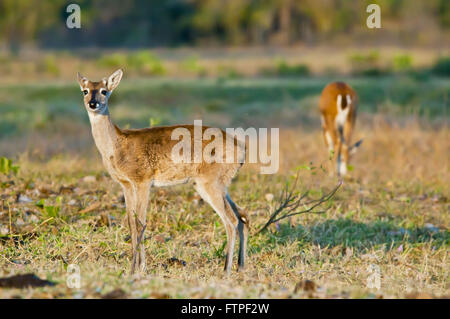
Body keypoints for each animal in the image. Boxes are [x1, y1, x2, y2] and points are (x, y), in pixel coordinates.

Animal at [75, 70, 248, 276]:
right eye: (85, 90)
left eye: (104, 90)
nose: (93, 104)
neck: (117, 145)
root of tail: (242, 149)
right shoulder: (126, 185)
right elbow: (131, 222)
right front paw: (138, 266)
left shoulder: (142, 181)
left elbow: (140, 222)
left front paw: (136, 268)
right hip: (218, 186)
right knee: (242, 216)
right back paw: (240, 266)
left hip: (210, 184)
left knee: (231, 220)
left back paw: (226, 270)